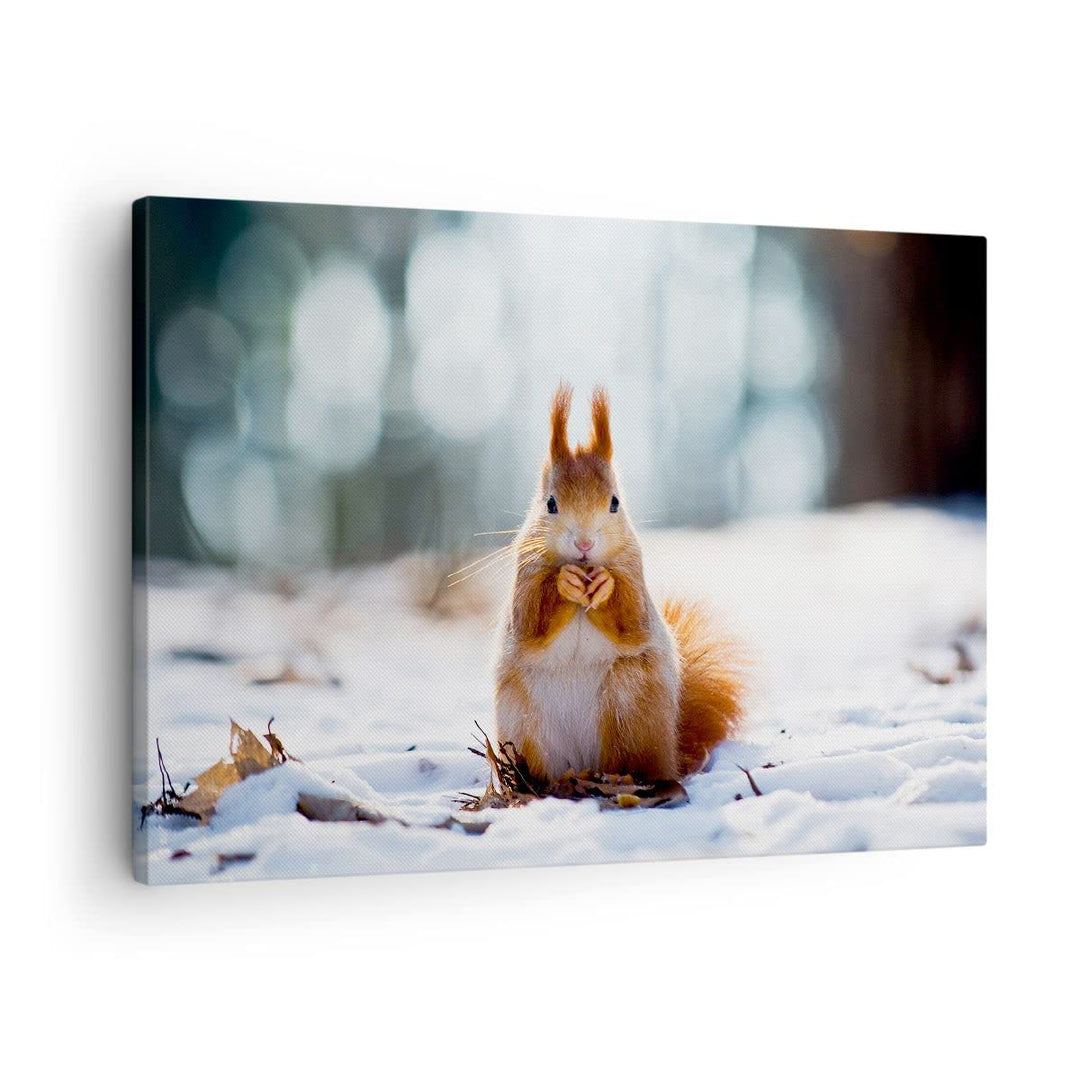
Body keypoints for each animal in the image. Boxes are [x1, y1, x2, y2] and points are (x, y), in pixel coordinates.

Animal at [494, 383, 742, 783]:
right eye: (550, 504)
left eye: (615, 502)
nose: (584, 545)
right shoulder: (525, 573)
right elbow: (530, 621)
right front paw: (564, 582)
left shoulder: (634, 573)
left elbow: (632, 620)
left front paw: (605, 586)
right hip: (523, 720)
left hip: (630, 705)